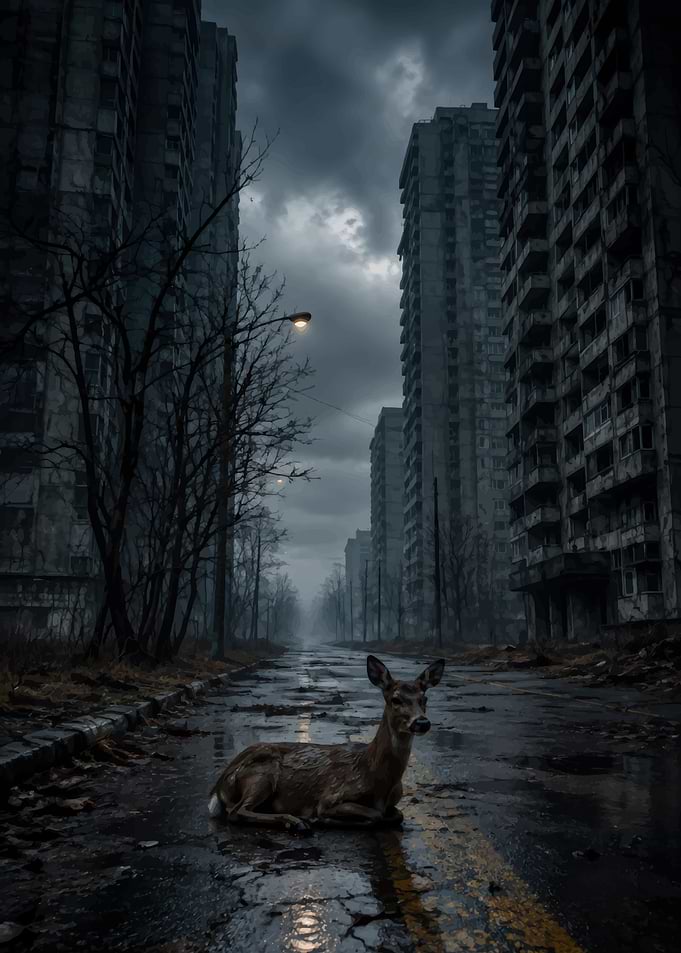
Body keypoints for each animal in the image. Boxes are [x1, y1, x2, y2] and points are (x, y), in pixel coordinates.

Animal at [208, 654, 445, 831]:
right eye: (395, 699)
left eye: (424, 699)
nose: (422, 722)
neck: (378, 778)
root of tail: (219, 786)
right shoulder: (331, 796)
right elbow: (375, 815)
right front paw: (318, 818)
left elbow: (398, 815)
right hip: (262, 772)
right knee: (237, 812)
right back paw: (295, 821)